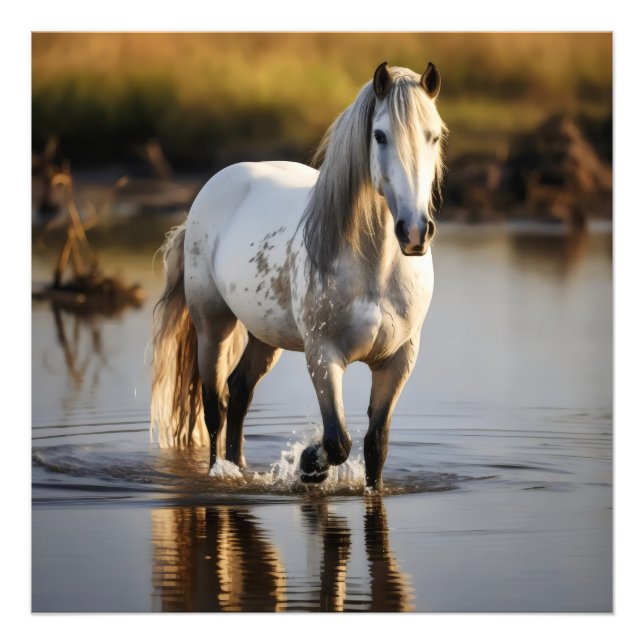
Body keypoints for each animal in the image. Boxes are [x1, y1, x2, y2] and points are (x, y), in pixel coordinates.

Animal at [151, 62, 447, 491]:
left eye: (434, 135)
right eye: (380, 135)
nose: (414, 232)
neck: (374, 271)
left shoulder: (398, 360)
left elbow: (376, 446)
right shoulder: (324, 356)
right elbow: (338, 441)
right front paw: (309, 464)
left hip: (264, 335)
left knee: (239, 392)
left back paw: (240, 465)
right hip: (213, 326)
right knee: (214, 405)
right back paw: (220, 472)